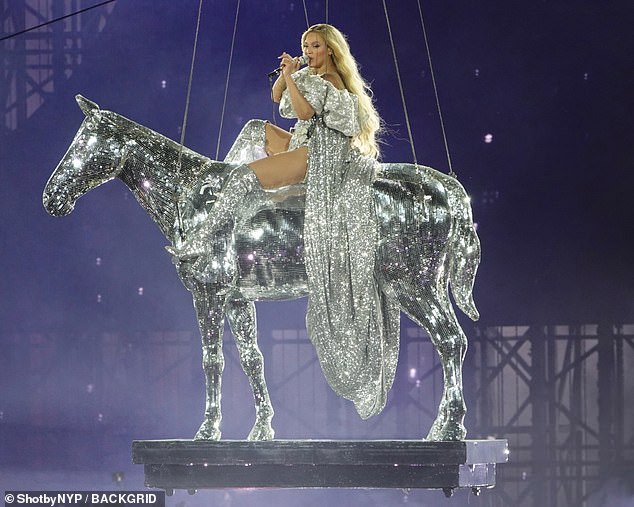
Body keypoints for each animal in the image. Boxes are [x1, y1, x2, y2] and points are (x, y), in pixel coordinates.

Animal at [42, 97, 476, 442]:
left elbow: (212, 360)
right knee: (453, 341)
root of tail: (445, 188)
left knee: (450, 341)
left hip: (412, 285)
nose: (52, 198)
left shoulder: (208, 293)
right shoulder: (237, 300)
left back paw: (450, 429)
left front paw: (208, 430)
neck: (194, 196)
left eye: (87, 141)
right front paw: (262, 428)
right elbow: (253, 359)